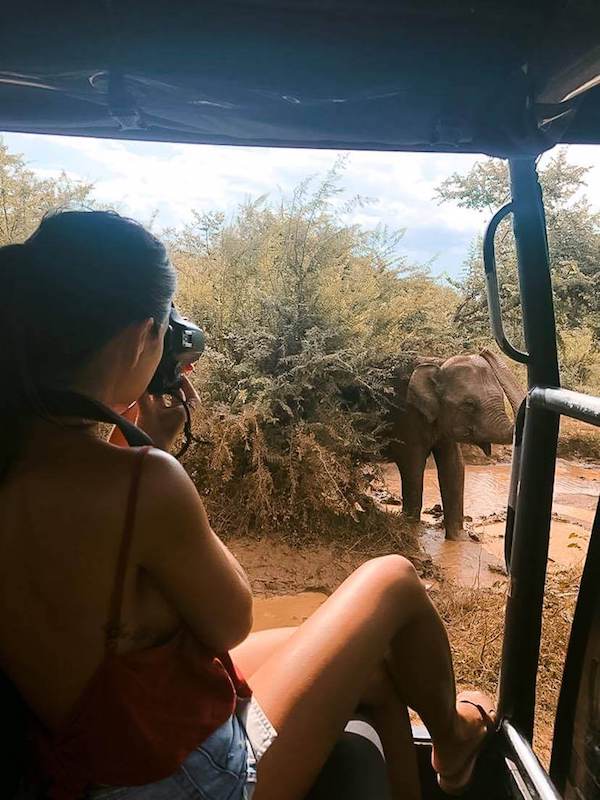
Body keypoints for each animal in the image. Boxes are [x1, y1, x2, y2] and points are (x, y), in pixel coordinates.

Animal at [382, 348, 524, 540]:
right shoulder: (406, 417)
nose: (484, 350)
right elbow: (412, 466)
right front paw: (410, 530)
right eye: (469, 404)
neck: (437, 364)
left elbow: (454, 466)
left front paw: (458, 540)